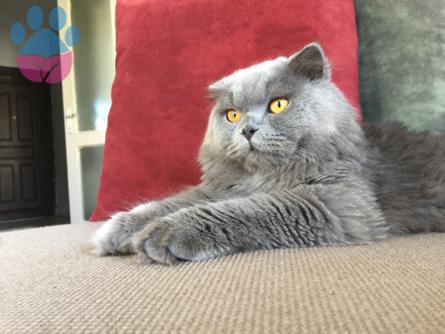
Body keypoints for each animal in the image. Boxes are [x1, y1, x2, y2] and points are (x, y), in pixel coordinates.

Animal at [93, 43, 444, 264]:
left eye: (278, 104)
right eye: (232, 114)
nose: (247, 129)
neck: (265, 177)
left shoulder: (337, 200)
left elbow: (247, 209)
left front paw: (164, 232)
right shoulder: (219, 188)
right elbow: (172, 202)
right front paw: (117, 230)